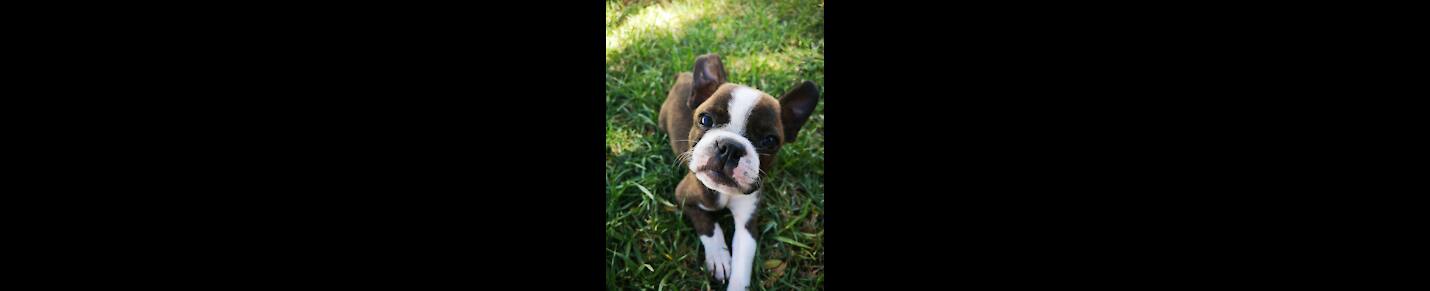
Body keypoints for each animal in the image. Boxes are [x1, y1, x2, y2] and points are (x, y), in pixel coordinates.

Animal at [654, 53, 823, 289]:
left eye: (770, 141)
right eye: (705, 119)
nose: (730, 148)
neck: (723, 192)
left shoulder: (747, 222)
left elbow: (743, 260)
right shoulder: (685, 198)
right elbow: (710, 226)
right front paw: (719, 259)